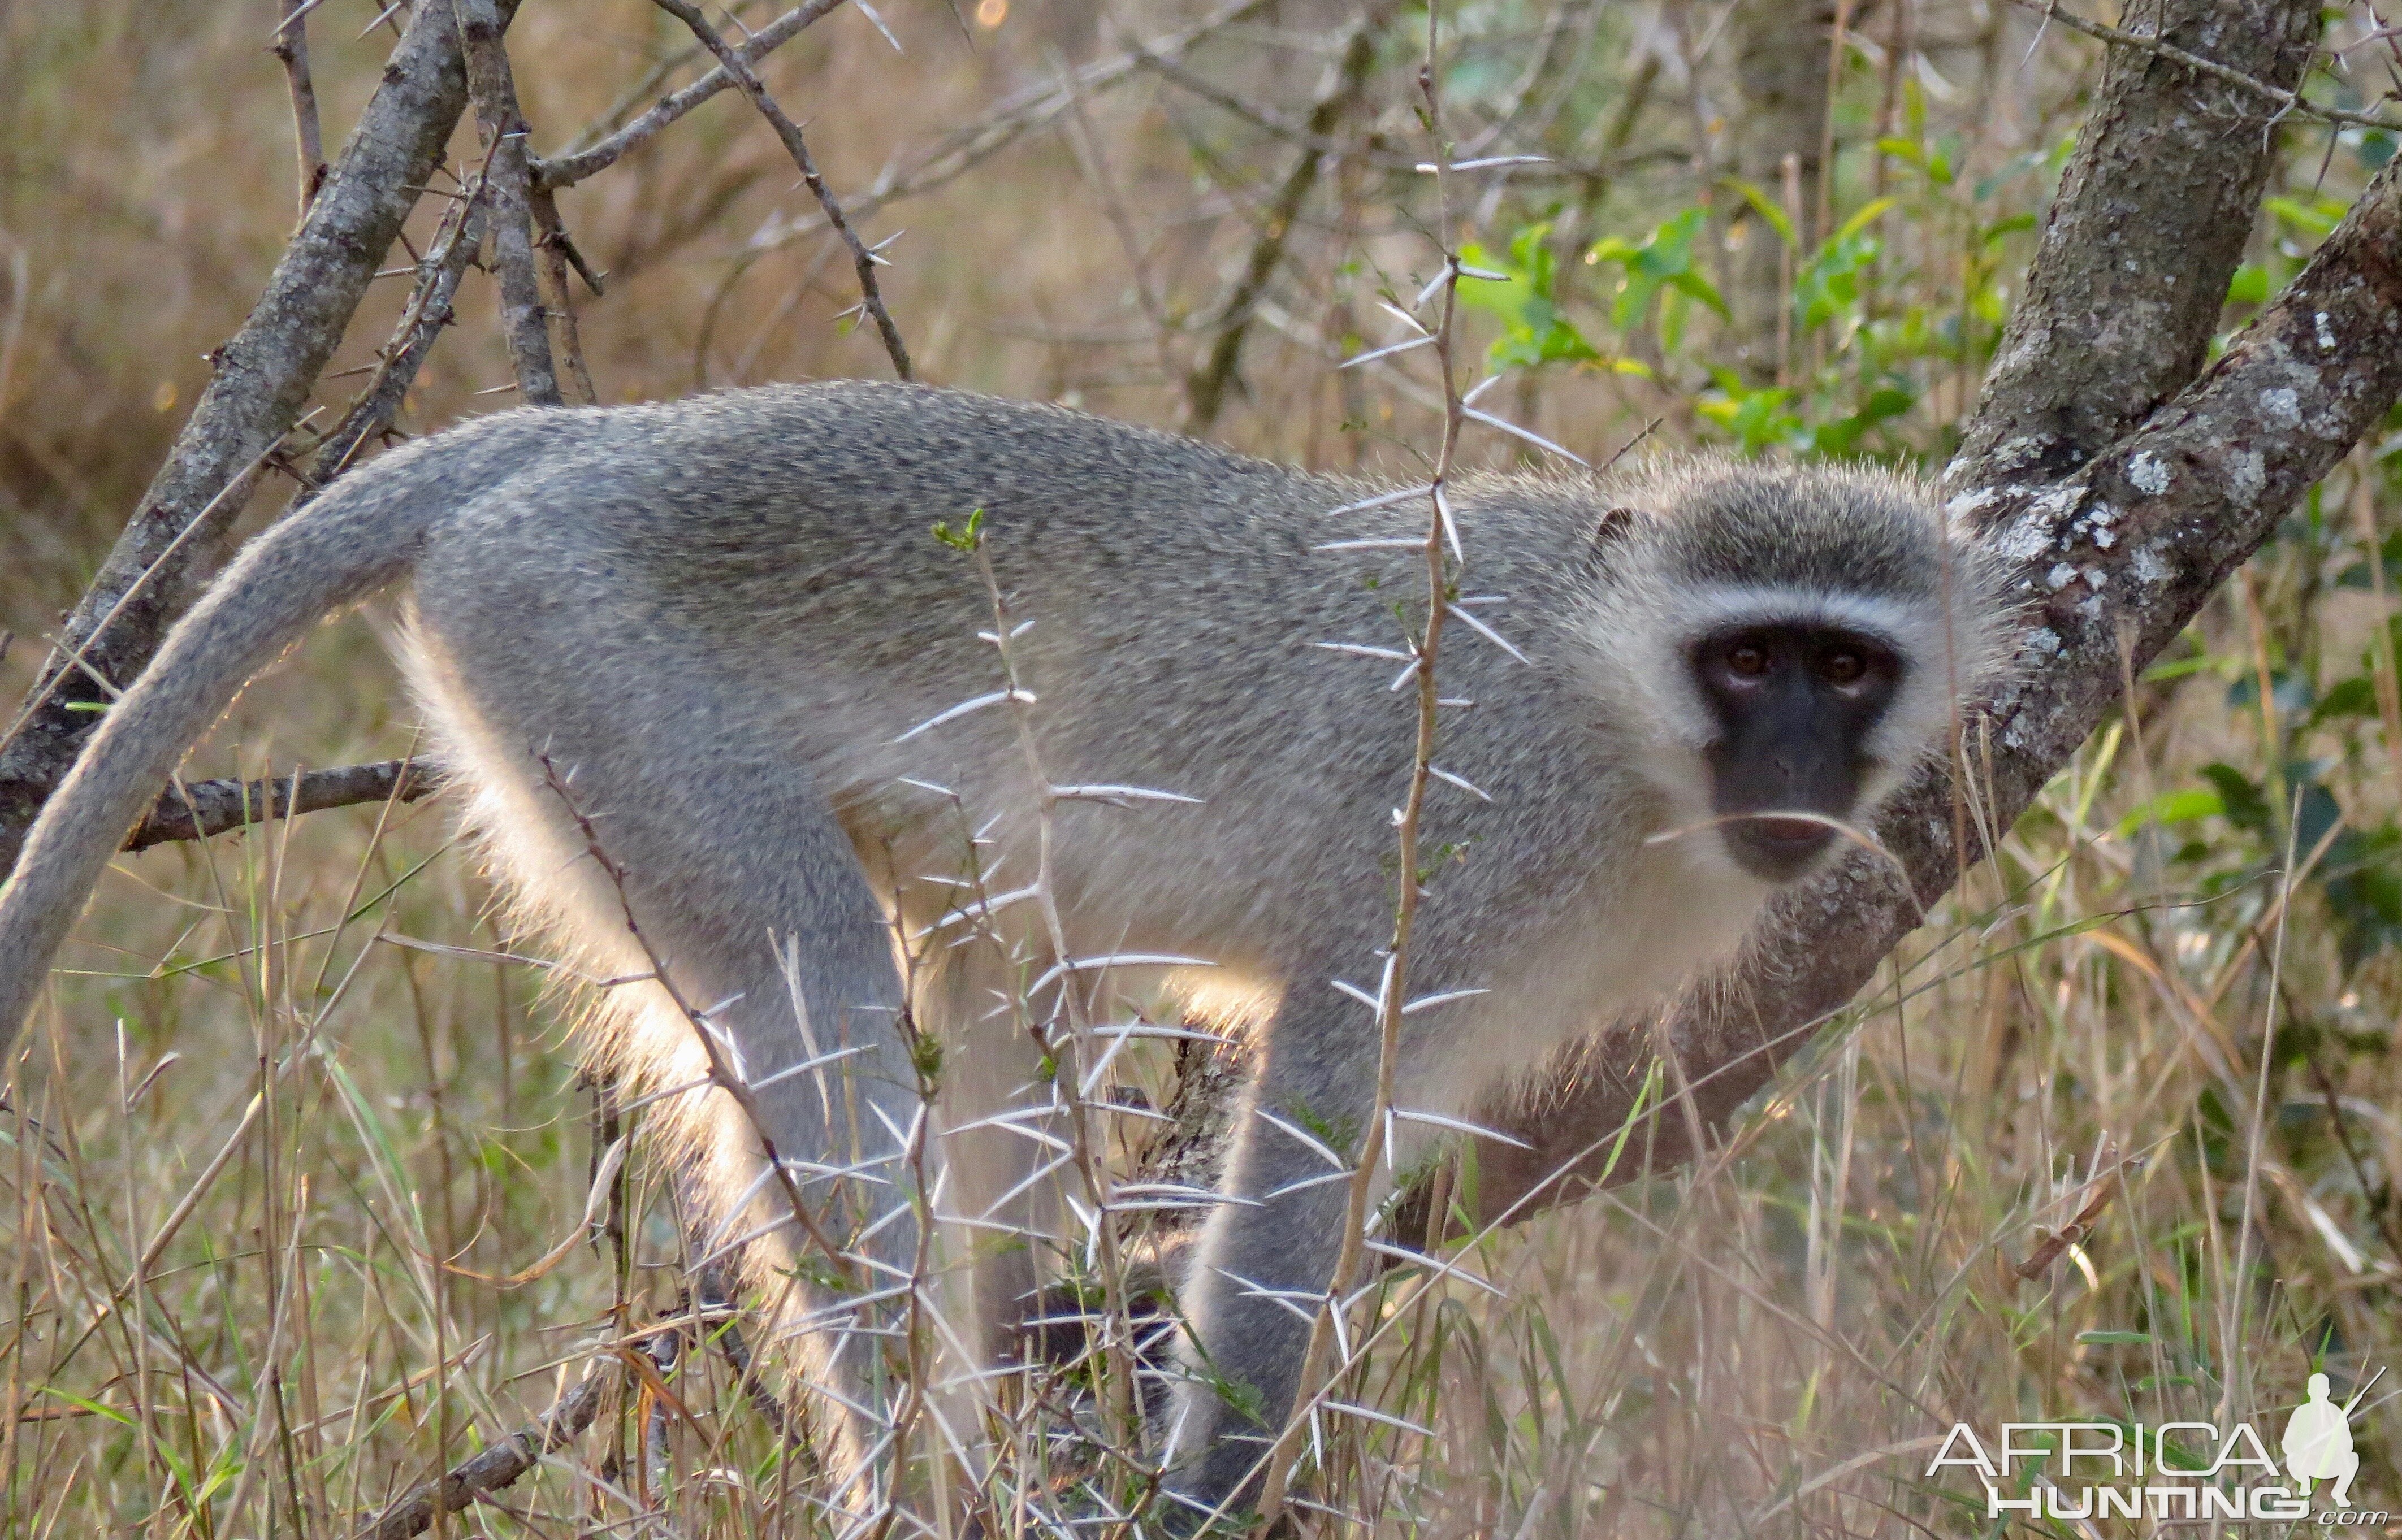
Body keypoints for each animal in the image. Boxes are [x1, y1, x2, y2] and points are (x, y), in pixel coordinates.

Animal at [0, 381, 2008, 1518]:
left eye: (1846, 667)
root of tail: (570, 439)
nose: (1797, 767)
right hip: (595, 664)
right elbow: (1309, 1128)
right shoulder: (1466, 846)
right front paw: (1213, 1492)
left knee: (996, 1012)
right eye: (1750, 659)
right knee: (817, 991)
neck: (1616, 710)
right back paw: (913, 1477)